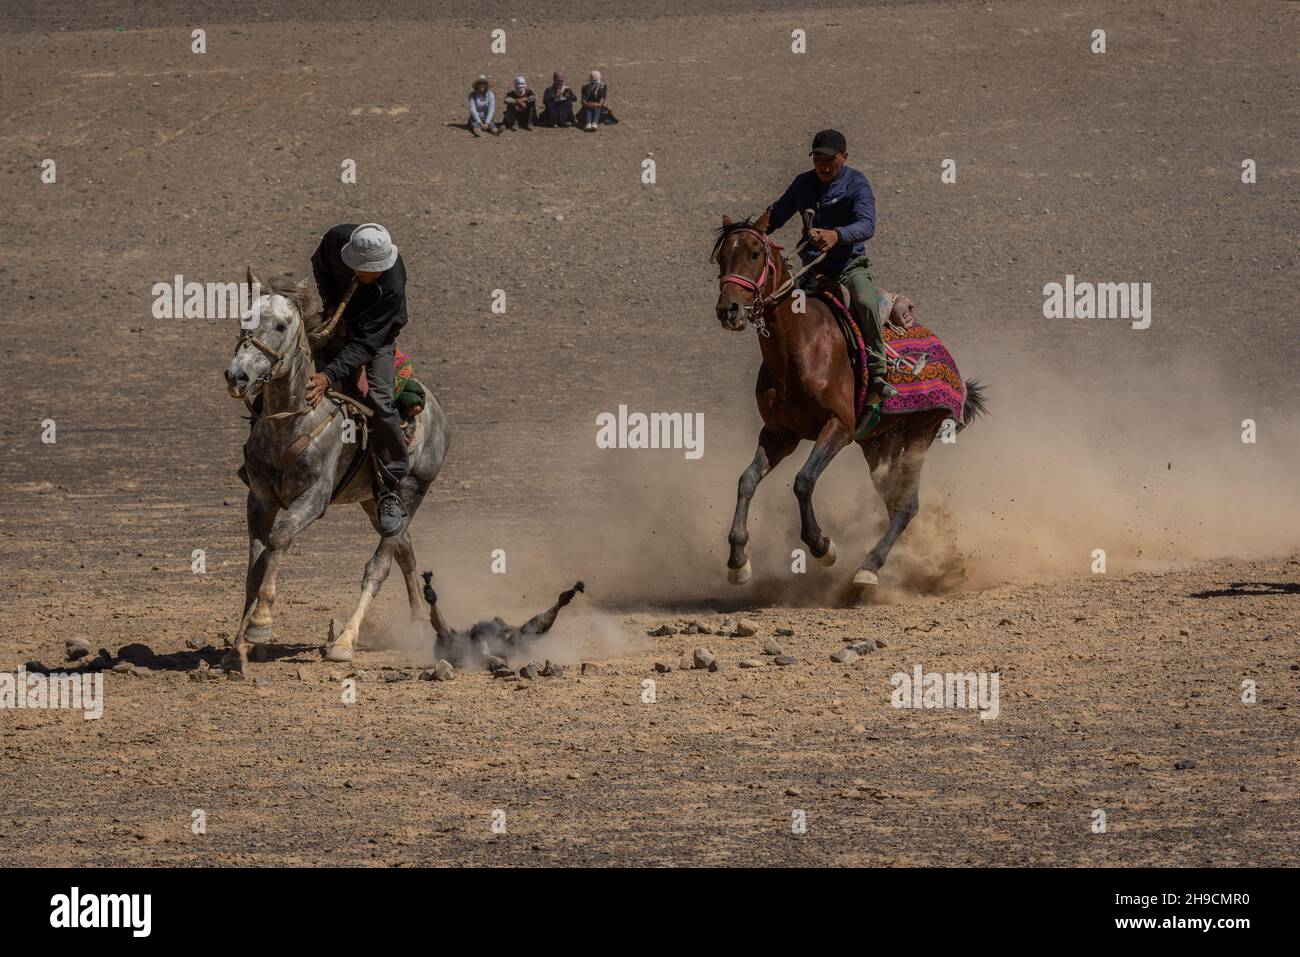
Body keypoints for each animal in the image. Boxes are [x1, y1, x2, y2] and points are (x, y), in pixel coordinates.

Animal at [220, 269, 449, 670]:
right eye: (244, 318)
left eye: (281, 325)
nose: (238, 377)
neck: (295, 420)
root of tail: (436, 411)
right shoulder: (259, 498)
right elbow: (255, 566)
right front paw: (239, 648)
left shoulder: (313, 498)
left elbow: (279, 538)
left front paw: (260, 626)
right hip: (376, 501)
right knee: (404, 549)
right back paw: (422, 625)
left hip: (412, 490)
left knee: (378, 567)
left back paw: (344, 641)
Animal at [712, 211, 982, 590]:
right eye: (722, 257)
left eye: (753, 254)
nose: (729, 310)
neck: (800, 346)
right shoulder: (780, 434)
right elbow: (747, 479)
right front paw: (738, 561)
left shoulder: (839, 426)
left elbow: (804, 481)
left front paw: (822, 546)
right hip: (879, 442)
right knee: (892, 496)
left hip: (920, 433)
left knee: (907, 504)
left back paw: (870, 567)